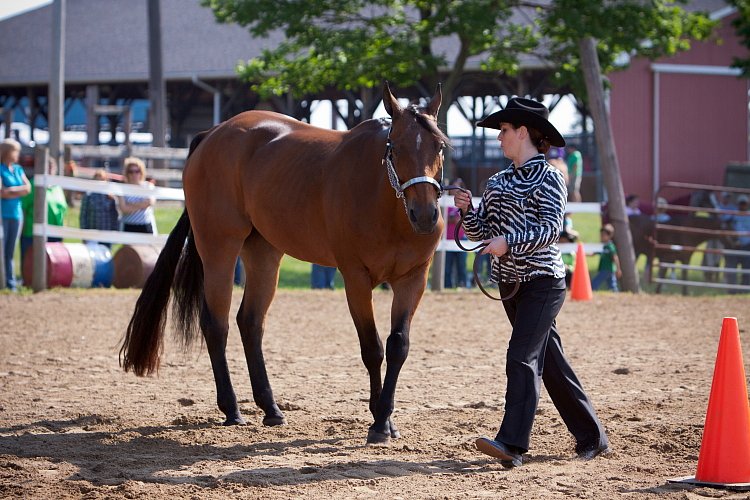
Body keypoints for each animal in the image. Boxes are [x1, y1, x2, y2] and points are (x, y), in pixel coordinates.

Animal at [120, 83, 450, 446]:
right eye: (395, 148)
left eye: (439, 145)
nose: (425, 215)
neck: (386, 207)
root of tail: (212, 134)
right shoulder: (355, 279)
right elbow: (372, 348)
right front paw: (378, 423)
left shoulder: (413, 279)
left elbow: (397, 346)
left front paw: (388, 420)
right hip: (218, 247)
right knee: (216, 324)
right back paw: (232, 409)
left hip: (264, 253)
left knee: (250, 322)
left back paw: (271, 408)